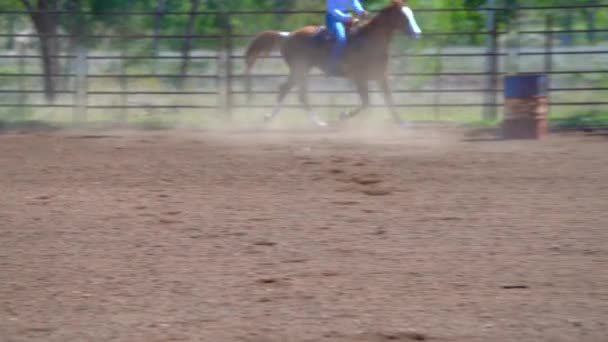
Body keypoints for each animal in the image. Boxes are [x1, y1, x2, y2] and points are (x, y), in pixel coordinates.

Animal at [245, 0, 420, 127]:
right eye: (404, 17)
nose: (417, 33)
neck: (369, 40)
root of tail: (287, 36)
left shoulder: (381, 76)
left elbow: (389, 100)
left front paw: (402, 123)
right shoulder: (359, 77)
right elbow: (366, 102)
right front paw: (343, 115)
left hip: (301, 71)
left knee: (295, 93)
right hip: (299, 70)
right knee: (290, 92)